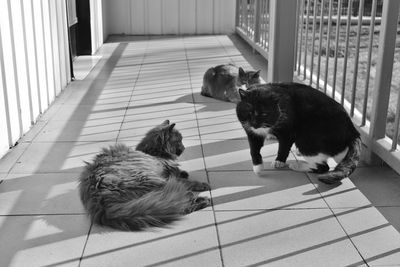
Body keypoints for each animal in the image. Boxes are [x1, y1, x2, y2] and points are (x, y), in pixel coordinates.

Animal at [76, 120, 211, 231]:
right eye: (179, 141)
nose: (184, 148)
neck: (153, 152)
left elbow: (179, 172)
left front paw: (183, 172)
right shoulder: (166, 175)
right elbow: (188, 181)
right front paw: (202, 184)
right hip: (153, 180)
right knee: (181, 203)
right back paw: (204, 200)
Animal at [236, 82, 364, 185]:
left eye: (264, 114)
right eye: (249, 112)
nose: (255, 123)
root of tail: (353, 131)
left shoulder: (288, 132)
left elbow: (283, 147)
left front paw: (279, 162)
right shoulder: (251, 132)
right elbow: (253, 149)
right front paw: (257, 167)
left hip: (307, 139)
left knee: (323, 167)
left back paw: (297, 166)